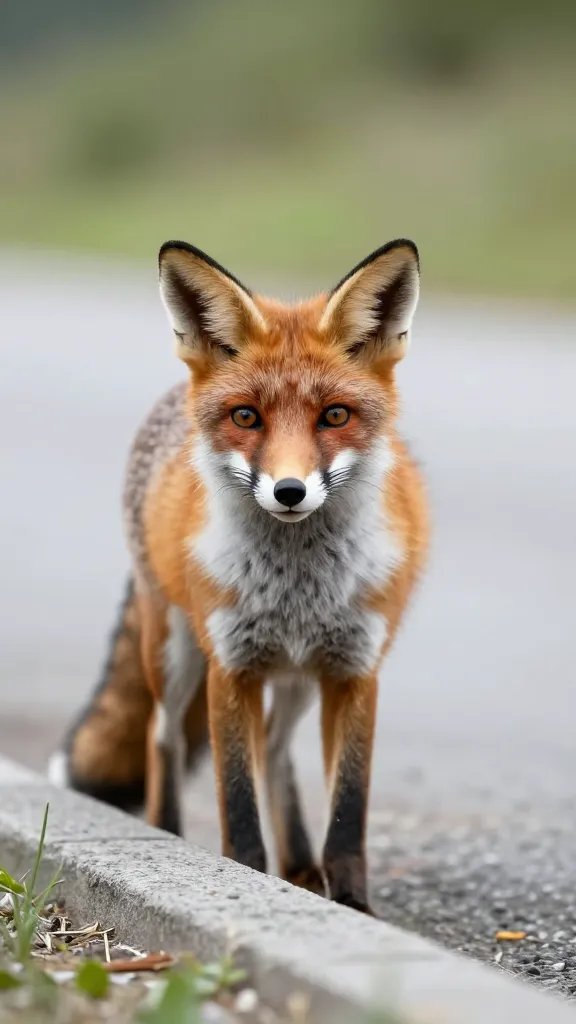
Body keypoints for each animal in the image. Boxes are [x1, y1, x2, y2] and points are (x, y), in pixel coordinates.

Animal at [51, 238, 428, 914]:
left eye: (335, 415)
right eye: (247, 417)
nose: (289, 491)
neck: (299, 589)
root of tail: (172, 396)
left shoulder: (355, 671)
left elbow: (348, 809)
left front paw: (351, 902)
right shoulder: (231, 666)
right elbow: (237, 801)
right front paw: (244, 875)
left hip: (298, 677)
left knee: (275, 749)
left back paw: (300, 865)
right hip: (174, 653)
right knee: (163, 738)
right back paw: (169, 831)